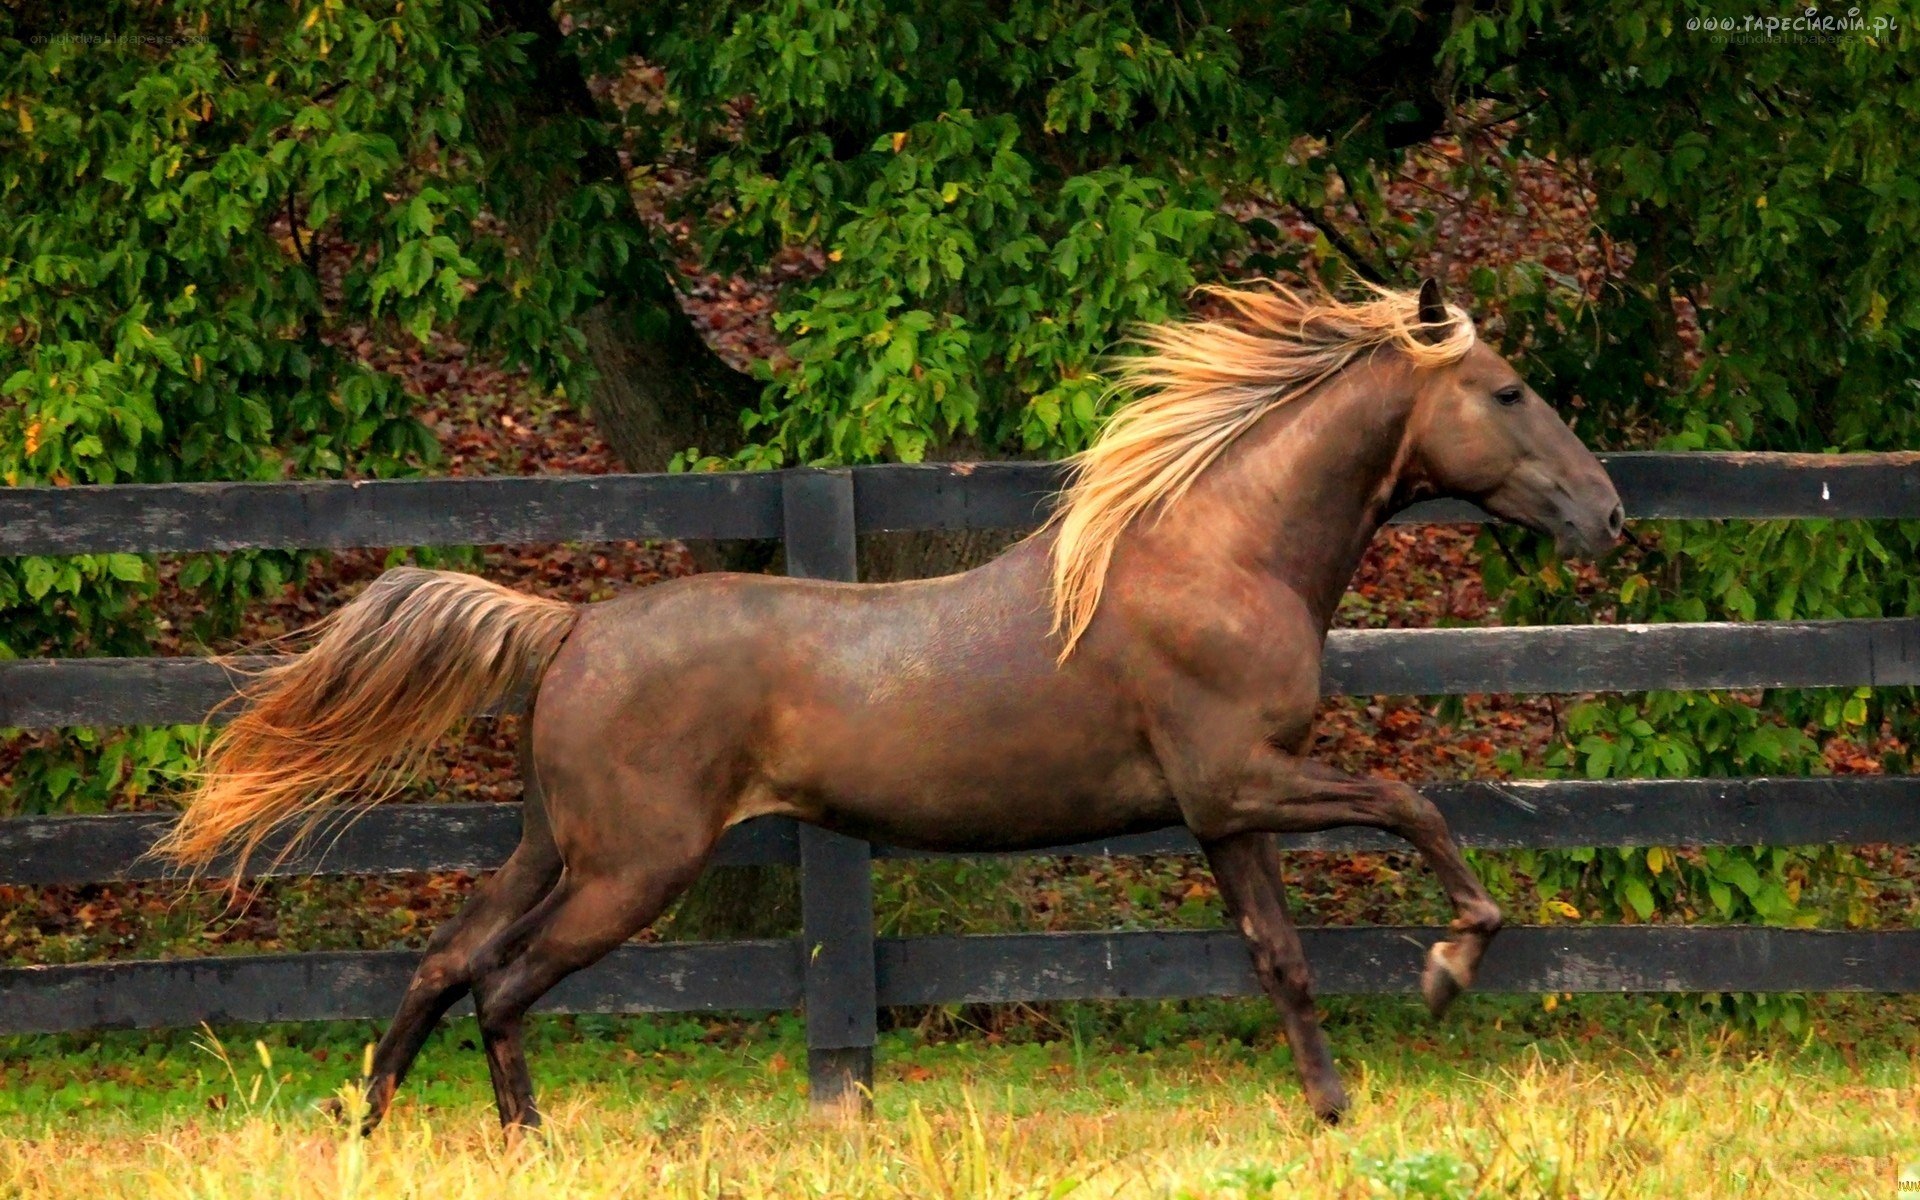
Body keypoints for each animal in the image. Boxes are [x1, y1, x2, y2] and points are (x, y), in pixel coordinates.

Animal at [157, 277, 1624, 1132]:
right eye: (1506, 391)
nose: (1608, 513)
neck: (1216, 552)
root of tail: (575, 626)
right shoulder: (1244, 779)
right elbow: (1412, 804)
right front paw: (1446, 969)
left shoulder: (1222, 814)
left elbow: (1284, 959)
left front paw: (1334, 1112)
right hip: (633, 867)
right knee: (505, 985)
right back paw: (526, 1139)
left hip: (550, 846)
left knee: (444, 962)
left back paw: (370, 1124)